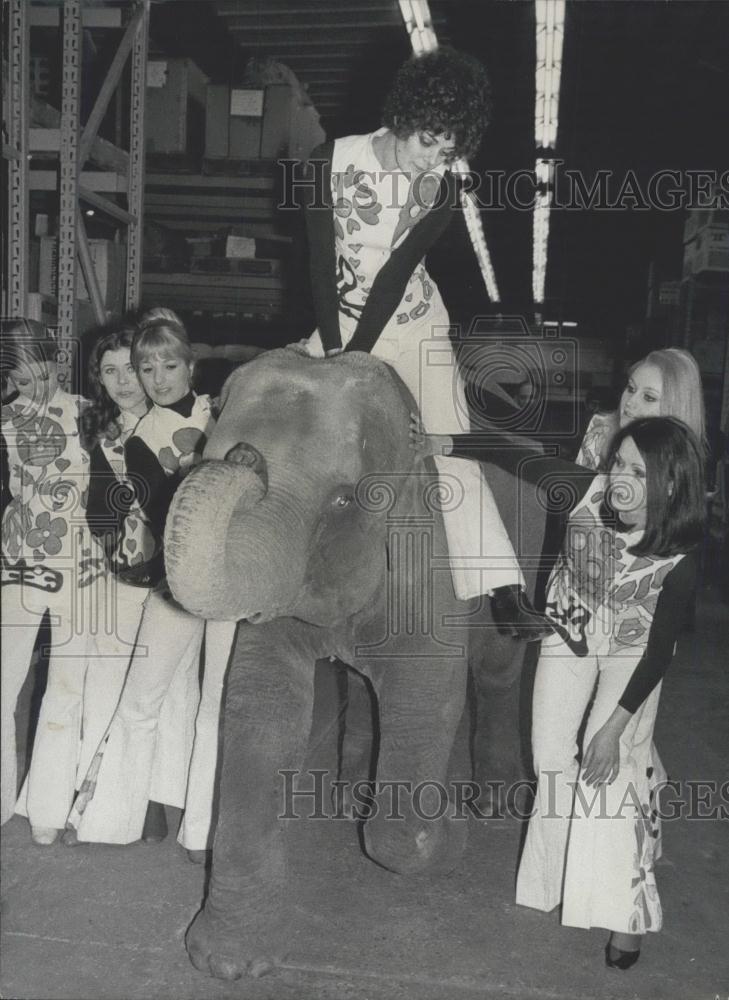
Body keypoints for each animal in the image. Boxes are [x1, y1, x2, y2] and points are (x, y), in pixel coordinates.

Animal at [164, 348, 540, 980]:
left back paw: (492, 802)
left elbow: (426, 701)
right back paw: (348, 799)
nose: (244, 458)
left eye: (344, 500)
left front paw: (450, 831)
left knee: (496, 666)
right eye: (211, 448)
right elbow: (263, 707)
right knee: (362, 686)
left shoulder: (427, 566)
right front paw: (228, 962)